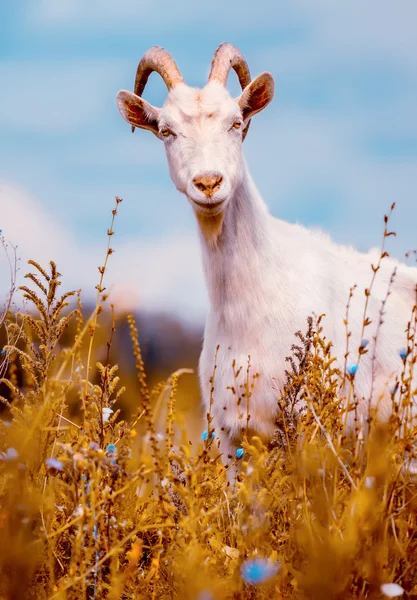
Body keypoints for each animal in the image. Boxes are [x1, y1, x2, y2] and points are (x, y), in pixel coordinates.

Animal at [116, 43, 416, 464]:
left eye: (236, 122)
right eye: (165, 131)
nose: (208, 183)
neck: (249, 306)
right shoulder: (228, 434)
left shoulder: (310, 423)